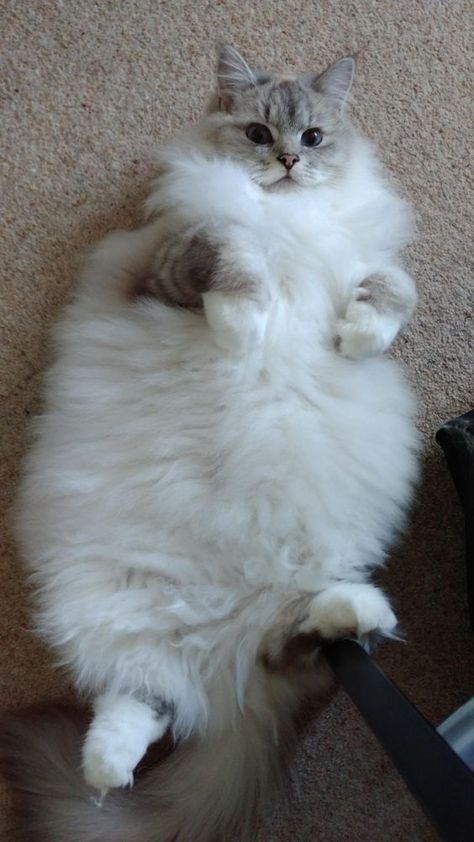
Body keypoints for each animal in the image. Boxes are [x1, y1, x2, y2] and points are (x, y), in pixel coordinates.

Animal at [2, 44, 418, 840]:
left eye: (312, 138)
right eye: (258, 134)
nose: (287, 160)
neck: (289, 217)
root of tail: (213, 658)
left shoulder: (370, 266)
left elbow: (392, 289)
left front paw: (355, 339)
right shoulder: (169, 258)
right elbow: (236, 253)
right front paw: (243, 330)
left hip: (278, 625)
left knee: (286, 654)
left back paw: (357, 611)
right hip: (116, 609)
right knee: (143, 699)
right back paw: (104, 773)